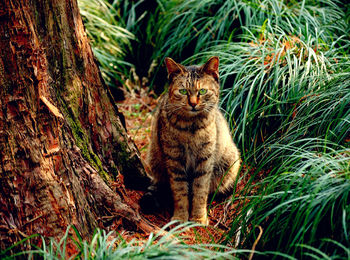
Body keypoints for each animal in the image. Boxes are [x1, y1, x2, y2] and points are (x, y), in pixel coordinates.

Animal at [140, 57, 241, 225]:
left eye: (202, 91)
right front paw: (180, 218)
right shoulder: (174, 159)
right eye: (183, 91)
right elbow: (180, 192)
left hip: (230, 161)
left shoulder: (205, 160)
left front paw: (199, 218)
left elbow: (200, 191)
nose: (193, 103)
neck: (191, 128)